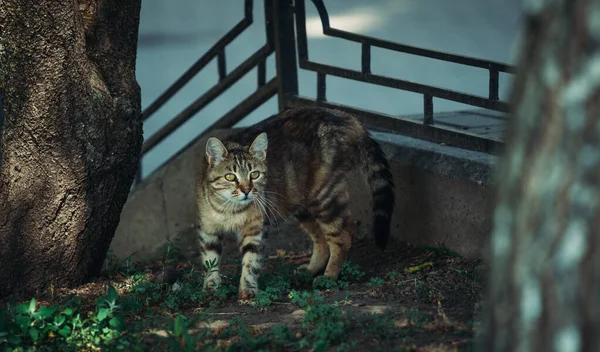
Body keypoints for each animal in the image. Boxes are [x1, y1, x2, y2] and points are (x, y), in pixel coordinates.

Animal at [195, 106, 396, 300]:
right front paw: (211, 287)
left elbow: (251, 261)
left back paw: (329, 276)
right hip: (301, 204)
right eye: (230, 176)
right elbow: (210, 260)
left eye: (255, 174)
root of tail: (344, 115)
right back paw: (310, 270)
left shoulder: (256, 229)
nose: (246, 190)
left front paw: (248, 288)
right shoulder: (208, 229)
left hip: (325, 196)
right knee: (321, 239)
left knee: (342, 235)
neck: (230, 208)